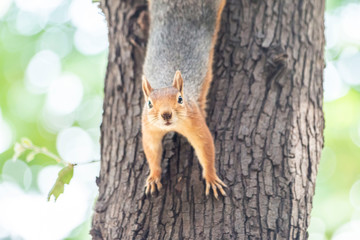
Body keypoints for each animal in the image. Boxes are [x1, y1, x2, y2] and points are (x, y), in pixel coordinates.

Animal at [140, 0, 225, 199]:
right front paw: (153, 176)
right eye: (149, 104)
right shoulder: (148, 127)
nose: (166, 114)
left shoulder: (195, 121)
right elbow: (152, 150)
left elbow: (205, 146)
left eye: (180, 99)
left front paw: (211, 177)